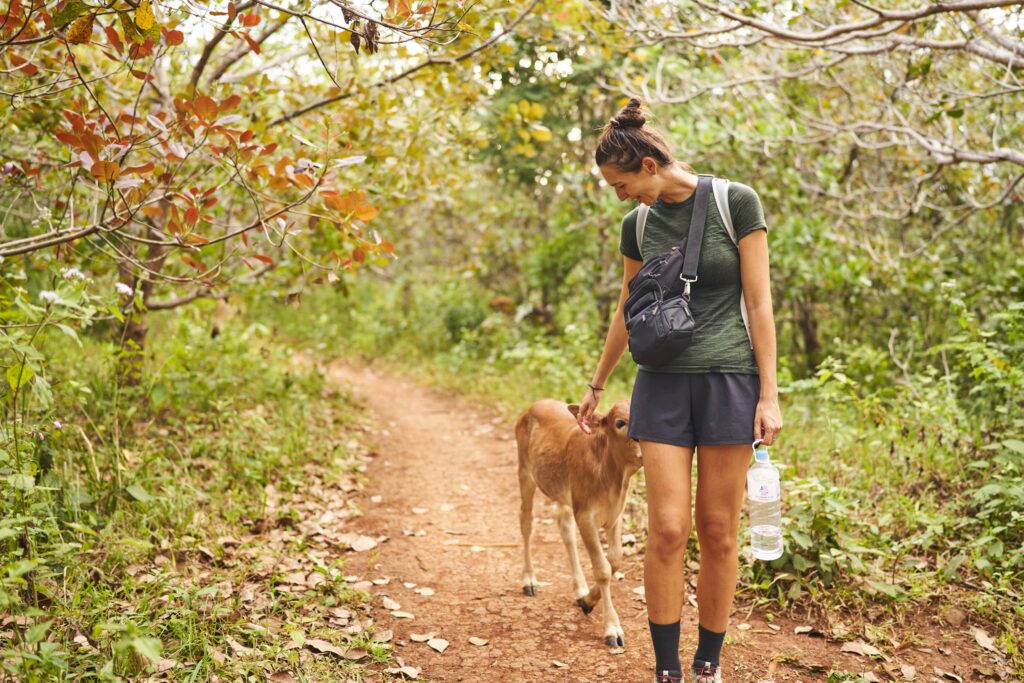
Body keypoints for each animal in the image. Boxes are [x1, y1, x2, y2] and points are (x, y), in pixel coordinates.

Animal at [520, 397, 638, 651]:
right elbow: (603, 569)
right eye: (620, 422)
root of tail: (536, 404)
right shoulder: (585, 516)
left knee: (565, 528)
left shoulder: (615, 515)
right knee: (526, 523)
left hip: (562, 494)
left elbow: (615, 560)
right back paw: (529, 580)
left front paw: (587, 600)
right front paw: (612, 628)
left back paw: (580, 587)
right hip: (525, 473)